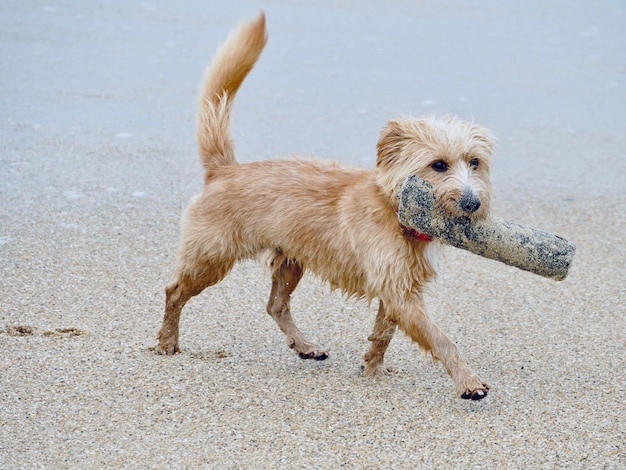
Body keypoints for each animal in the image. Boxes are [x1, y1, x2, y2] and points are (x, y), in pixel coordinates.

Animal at [156, 12, 492, 398]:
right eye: (438, 165)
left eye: (475, 162)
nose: (472, 202)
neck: (393, 210)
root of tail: (224, 169)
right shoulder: (400, 292)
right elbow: (441, 339)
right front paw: (468, 380)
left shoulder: (397, 290)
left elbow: (383, 333)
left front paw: (372, 370)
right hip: (211, 258)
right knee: (174, 291)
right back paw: (167, 341)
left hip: (290, 261)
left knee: (275, 305)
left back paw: (305, 346)